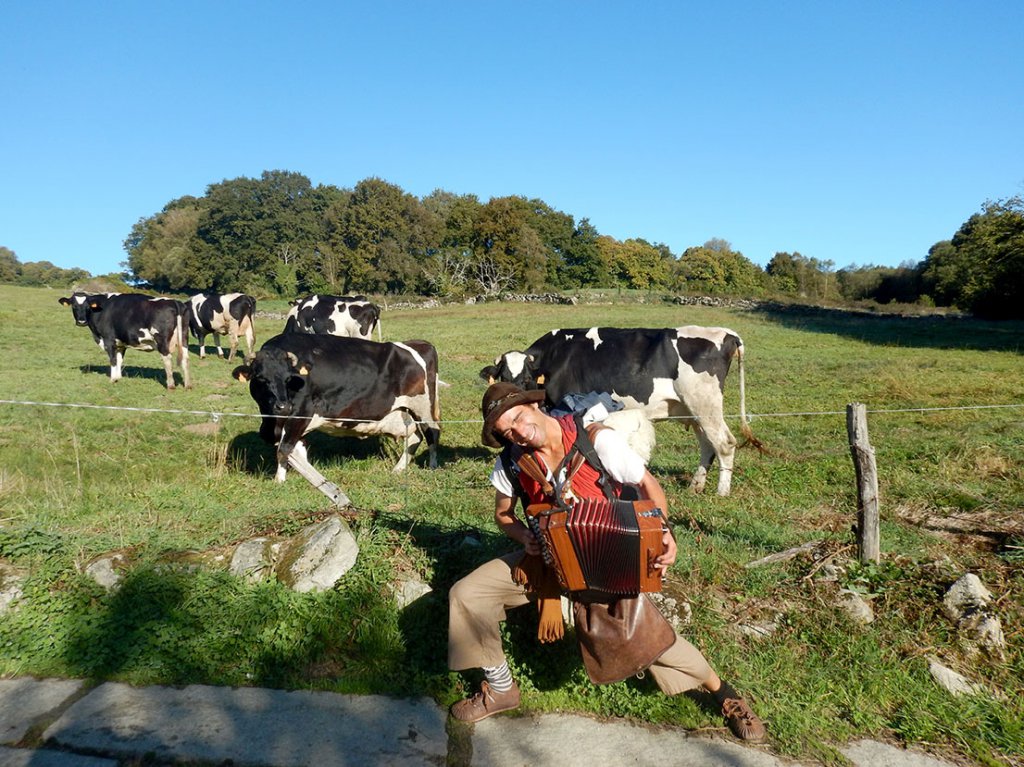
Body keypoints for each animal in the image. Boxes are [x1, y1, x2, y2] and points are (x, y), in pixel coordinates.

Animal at [58, 290, 191, 389]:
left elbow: (113, 360)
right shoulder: (121, 343)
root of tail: (174, 302)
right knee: (185, 358)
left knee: (167, 358)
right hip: (184, 337)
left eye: (87, 307)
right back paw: (188, 385)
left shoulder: (109, 340)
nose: (81, 321)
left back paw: (171, 385)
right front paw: (118, 378)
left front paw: (112, 379)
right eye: (74, 305)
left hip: (161, 340)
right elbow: (119, 360)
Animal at [234, 331, 442, 481]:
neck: (272, 421)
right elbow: (295, 448)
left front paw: (279, 480)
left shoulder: (302, 412)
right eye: (261, 378)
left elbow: (284, 449)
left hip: (423, 406)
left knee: (432, 432)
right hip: (402, 411)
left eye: (289, 378)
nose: (283, 407)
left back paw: (432, 466)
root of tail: (418, 344)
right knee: (415, 437)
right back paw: (398, 469)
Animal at [477, 325, 753, 493]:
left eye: (526, 380)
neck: (557, 359)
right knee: (708, 444)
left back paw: (722, 491)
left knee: (725, 444)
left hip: (705, 404)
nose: (512, 405)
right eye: (501, 378)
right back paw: (696, 486)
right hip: (692, 408)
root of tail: (726, 333)